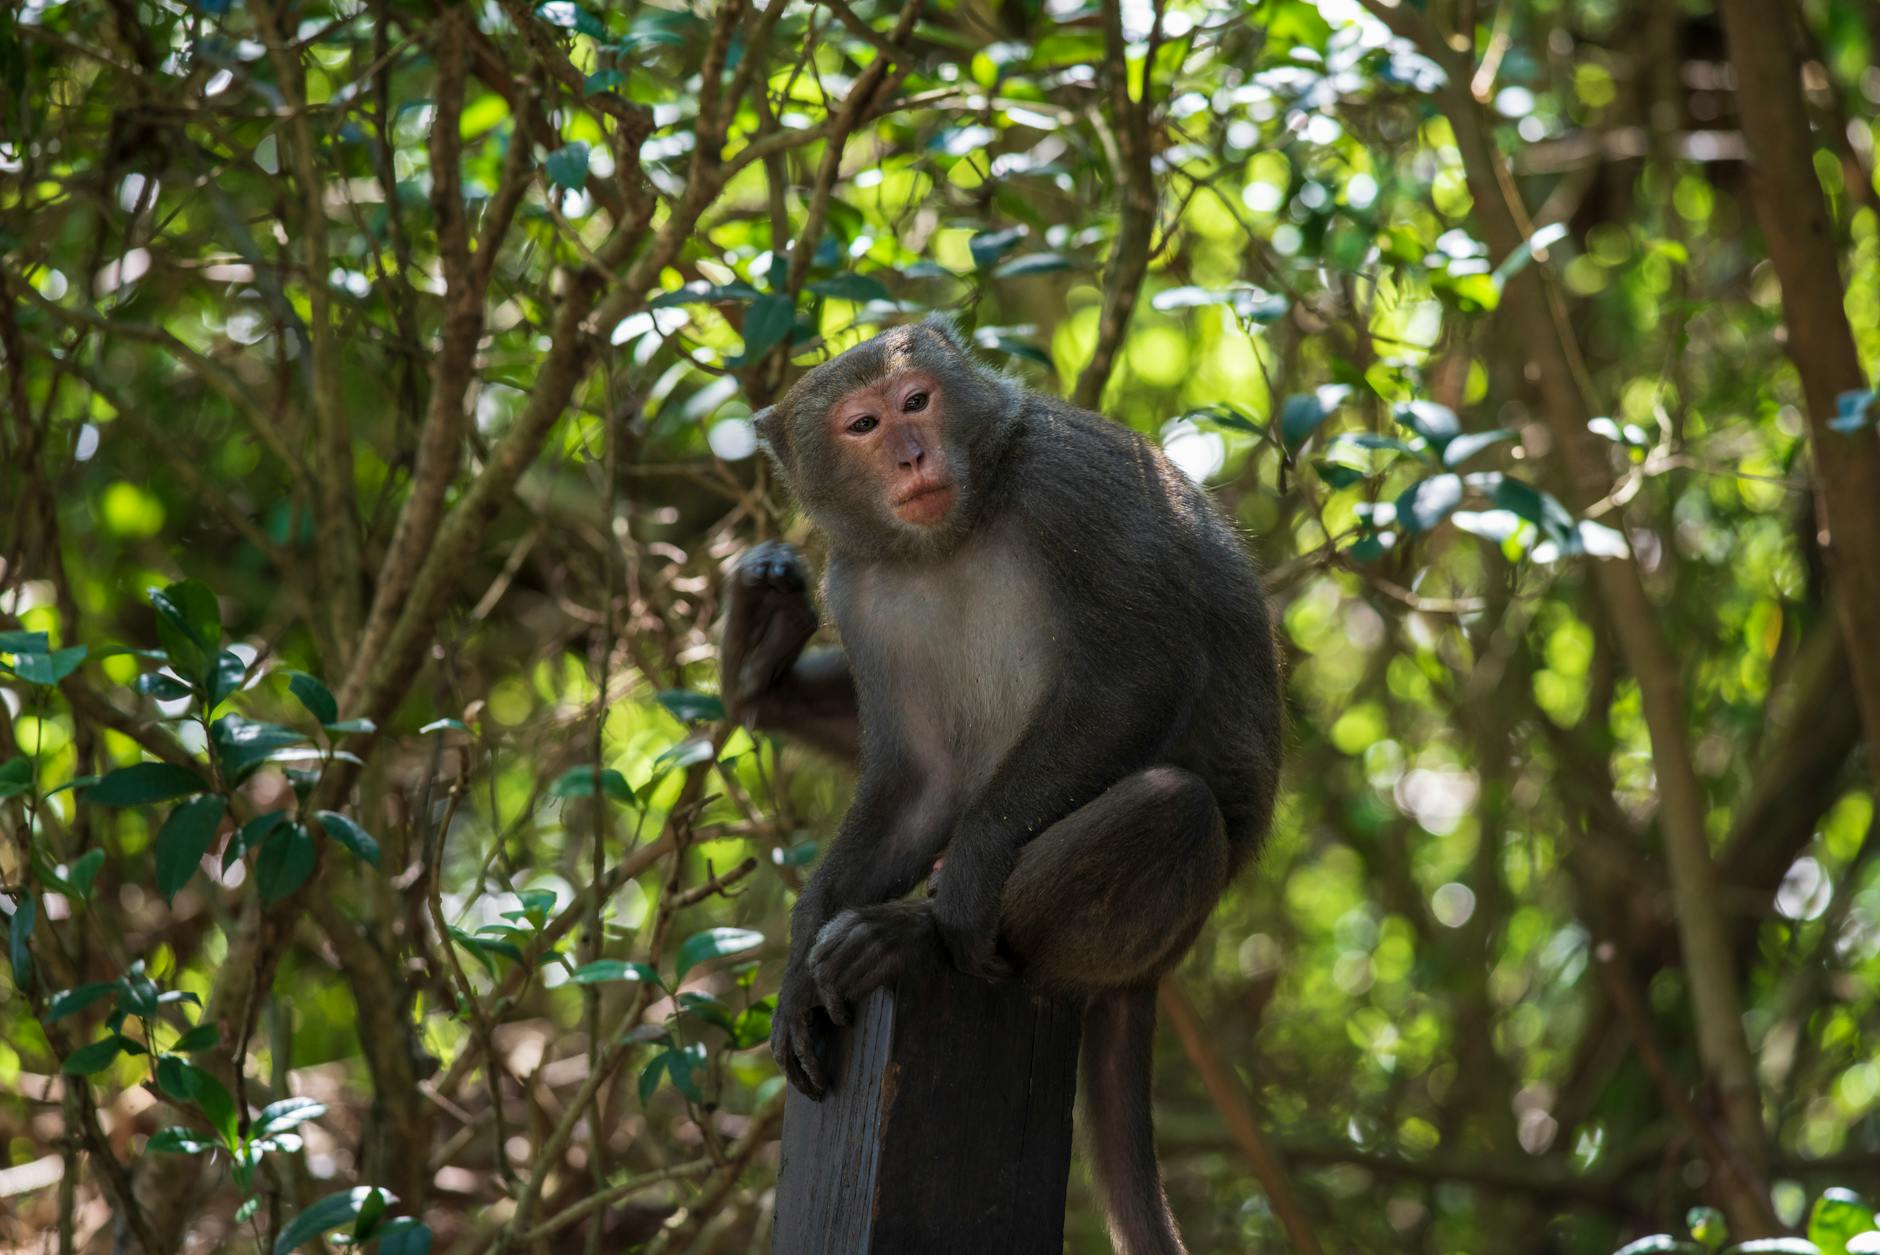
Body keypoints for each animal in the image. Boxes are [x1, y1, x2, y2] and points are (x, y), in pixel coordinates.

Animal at [720, 316, 1282, 1255]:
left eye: (917, 400)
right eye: (863, 425)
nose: (911, 454)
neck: (950, 539)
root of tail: (1158, 962)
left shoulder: (1070, 486)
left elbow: (1137, 671)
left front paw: (964, 884)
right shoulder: (858, 586)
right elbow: (919, 782)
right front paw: (798, 964)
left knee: (1178, 810)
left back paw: (913, 936)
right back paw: (761, 663)